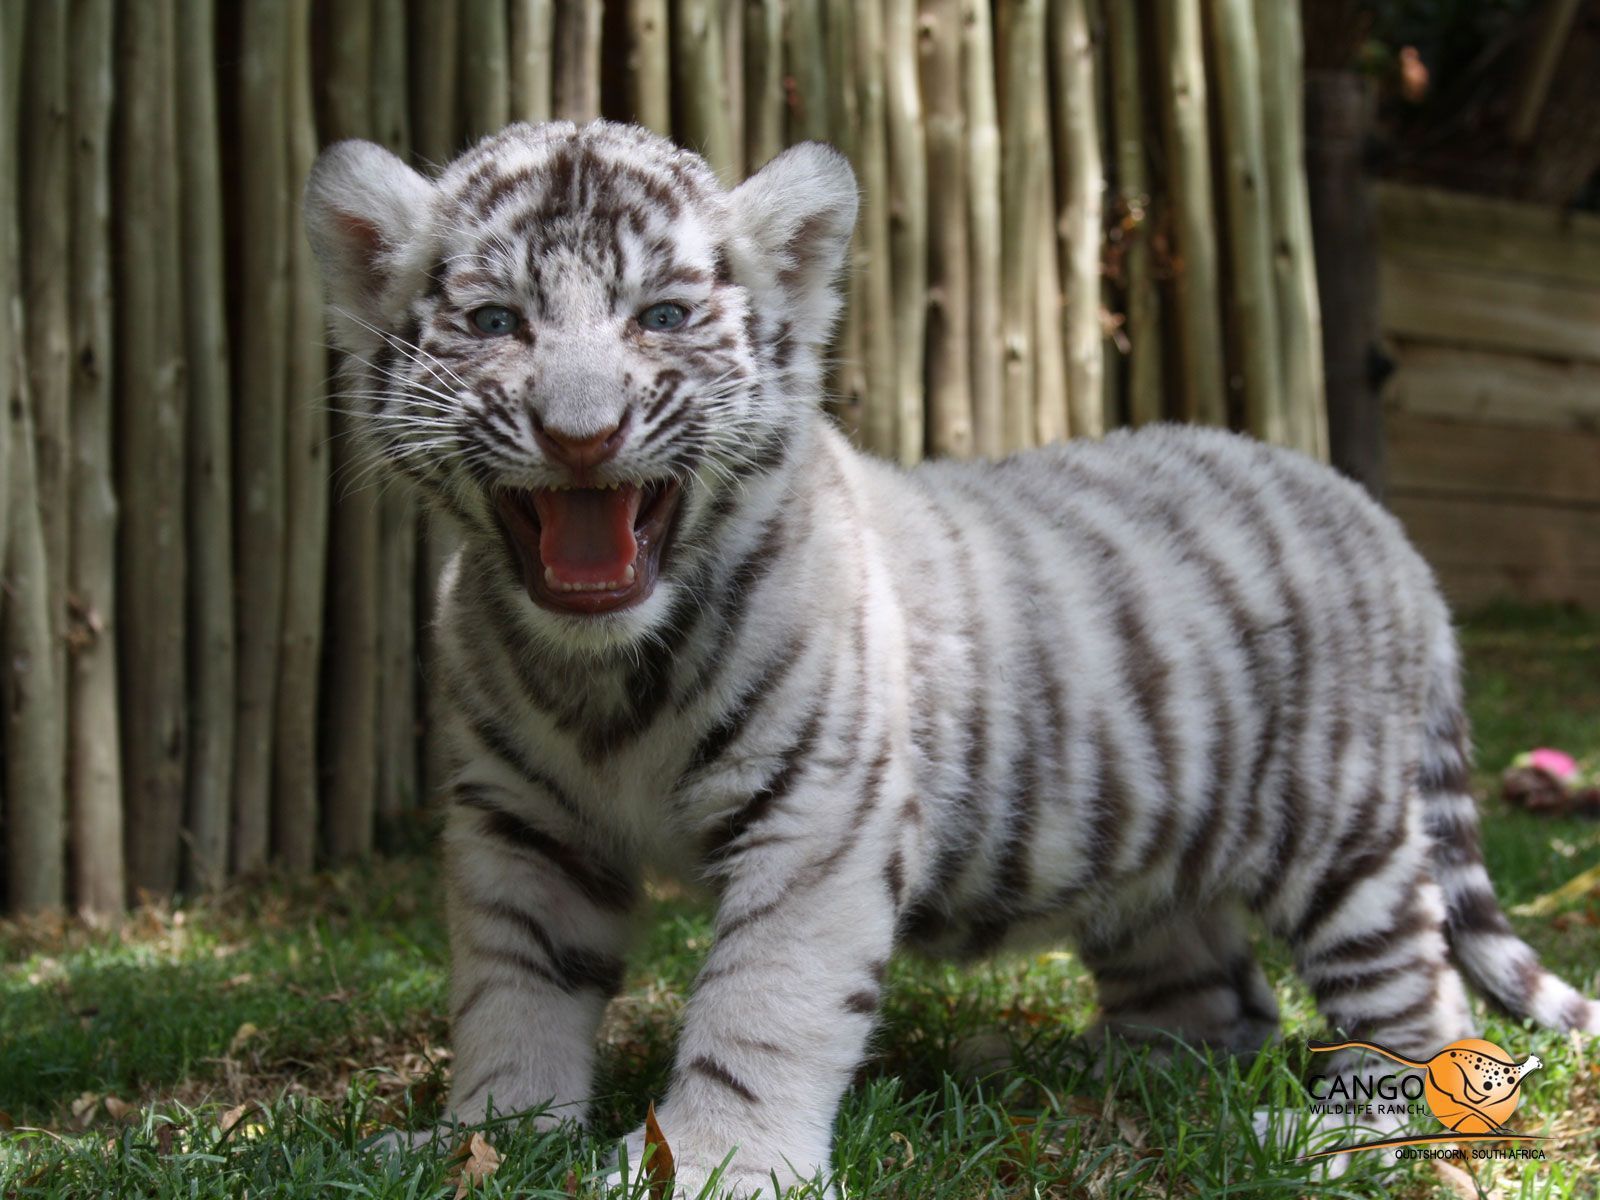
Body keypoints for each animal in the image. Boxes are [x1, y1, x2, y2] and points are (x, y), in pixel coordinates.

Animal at [303, 120, 1599, 1195]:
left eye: (660, 318)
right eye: (495, 324)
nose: (582, 436)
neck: (602, 671)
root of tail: (1379, 522)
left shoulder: (817, 816)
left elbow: (760, 1002)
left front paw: (714, 1161)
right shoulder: (522, 824)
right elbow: (513, 988)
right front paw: (486, 1138)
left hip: (1339, 831)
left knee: (1415, 993)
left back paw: (1336, 1129)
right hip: (1148, 858)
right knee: (1220, 1004)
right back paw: (1082, 1080)